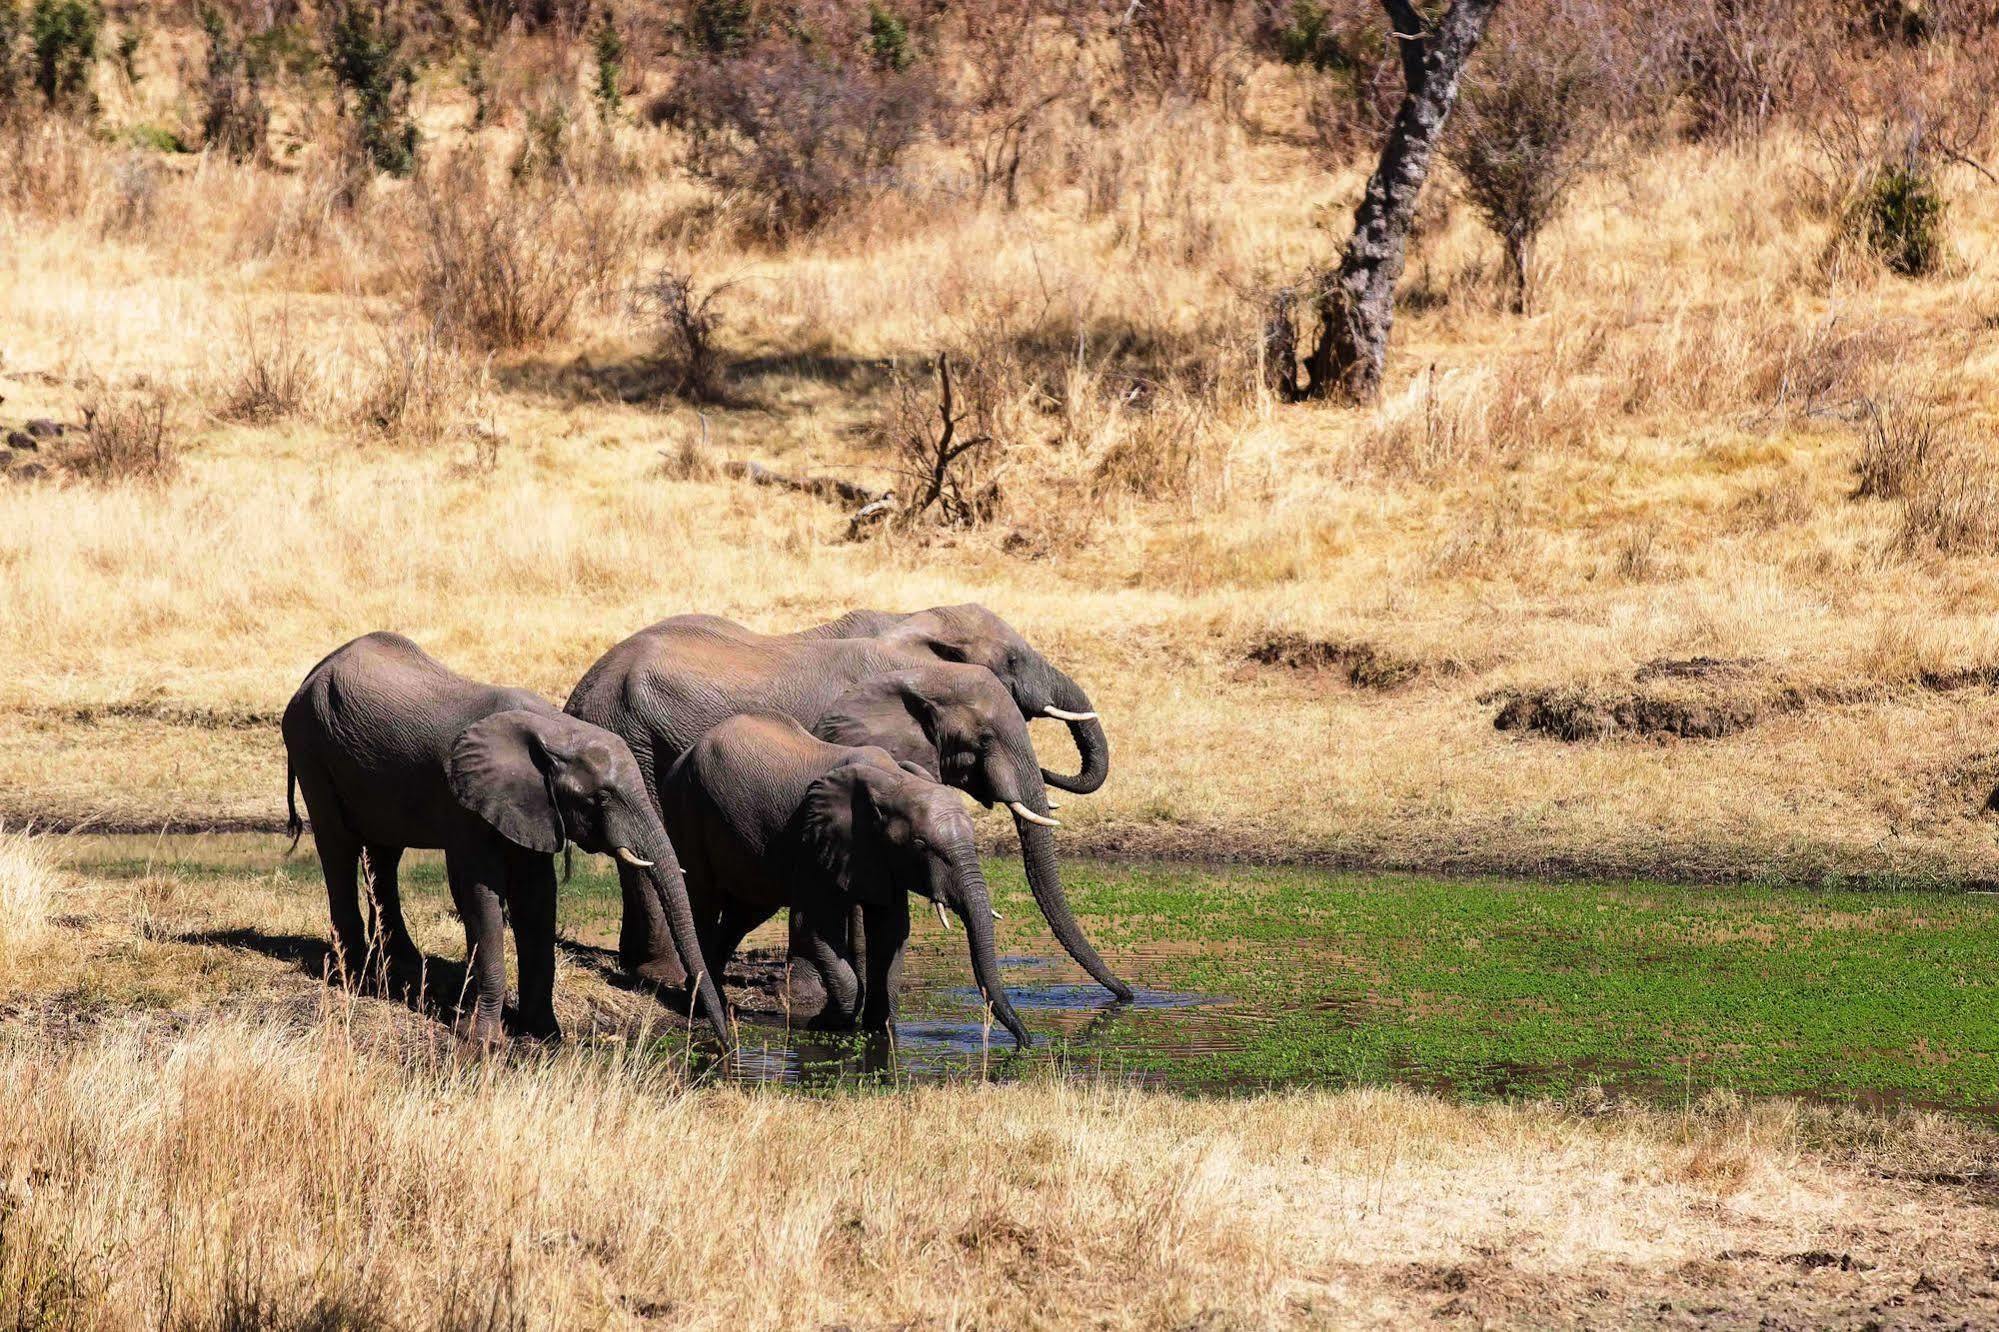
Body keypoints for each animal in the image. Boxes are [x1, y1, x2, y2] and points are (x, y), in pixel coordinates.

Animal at [277, 628, 723, 1040]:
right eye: (599, 798)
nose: (723, 1040)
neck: (554, 730)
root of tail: (311, 674)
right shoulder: (464, 799)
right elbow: (479, 893)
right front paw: (484, 1039)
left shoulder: (534, 806)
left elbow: (537, 895)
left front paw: (546, 1034)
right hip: (310, 745)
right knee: (338, 845)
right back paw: (355, 975)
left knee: (385, 853)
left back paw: (403, 962)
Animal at [563, 612, 1135, 996]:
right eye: (1012, 661)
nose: (1126, 996)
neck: (915, 659)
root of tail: (581, 688)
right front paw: (813, 996)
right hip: (630, 737)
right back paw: (665, 975)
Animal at [663, 712, 1031, 1040]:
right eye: (920, 845)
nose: (1025, 1041)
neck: (894, 782)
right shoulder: (813, 840)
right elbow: (811, 925)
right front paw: (825, 1024)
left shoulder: (879, 858)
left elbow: (891, 930)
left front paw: (879, 1030)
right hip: (684, 805)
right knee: (704, 902)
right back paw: (701, 1006)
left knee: (745, 912)